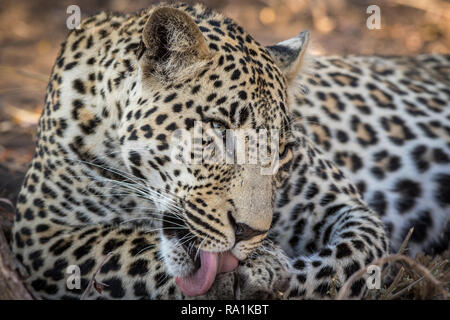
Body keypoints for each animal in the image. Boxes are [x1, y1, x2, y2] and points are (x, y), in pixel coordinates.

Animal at [10, 1, 446, 300]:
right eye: (219, 129)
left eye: (282, 150)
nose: (249, 232)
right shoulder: (40, 232)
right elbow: (125, 249)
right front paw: (256, 269)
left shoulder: (349, 208)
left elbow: (350, 260)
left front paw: (265, 272)